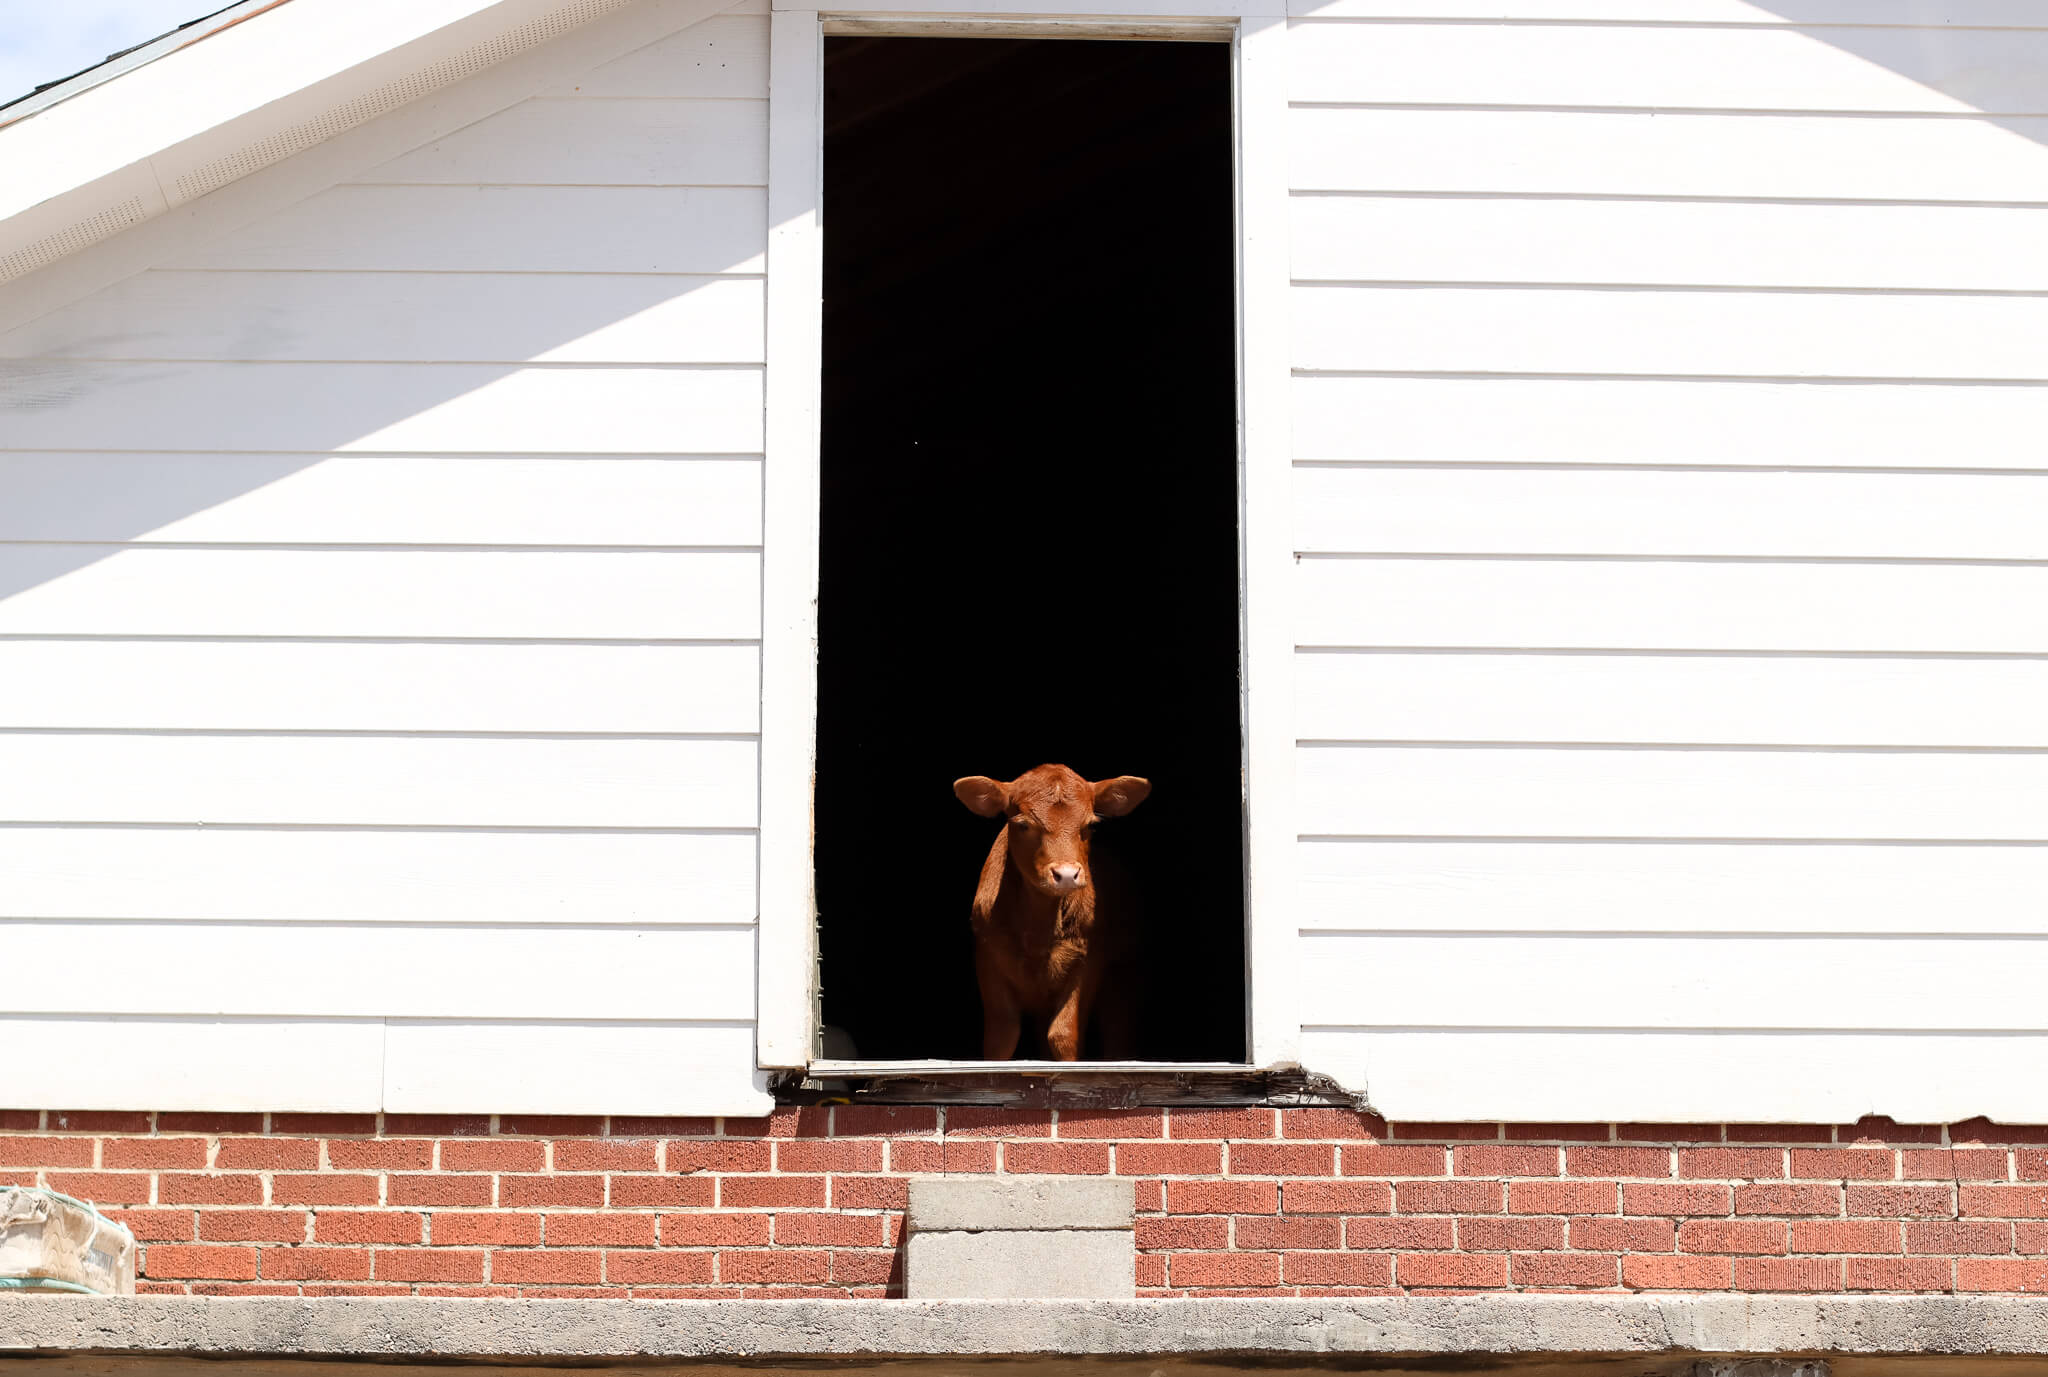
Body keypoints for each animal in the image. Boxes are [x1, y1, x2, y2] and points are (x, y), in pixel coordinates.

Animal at [951, 763, 1150, 1061]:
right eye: (1023, 825)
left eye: (1090, 825)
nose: (1066, 874)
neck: (1038, 930)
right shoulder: (988, 959)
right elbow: (1001, 1037)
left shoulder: (1088, 960)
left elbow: (1063, 1035)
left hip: (1125, 970)